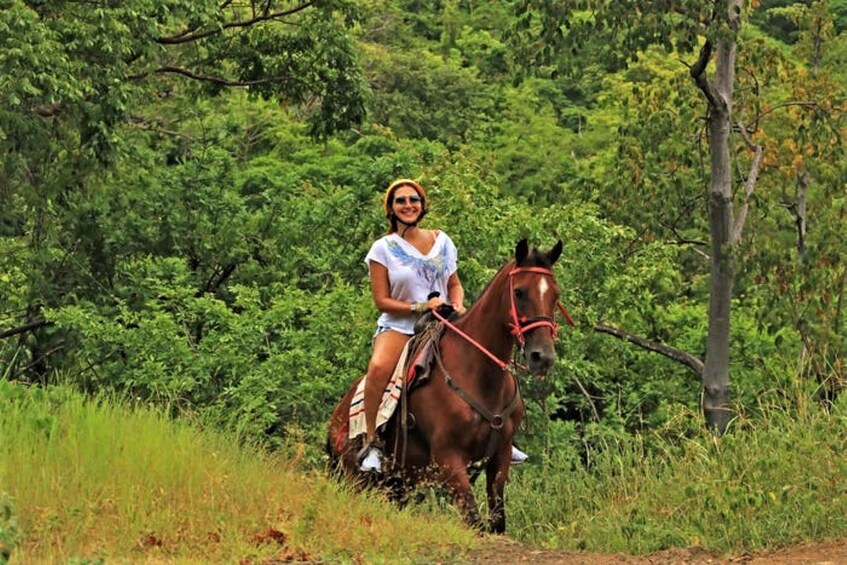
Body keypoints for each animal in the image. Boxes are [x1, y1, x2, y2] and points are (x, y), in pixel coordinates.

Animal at [328, 239, 568, 532]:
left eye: (555, 295)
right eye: (519, 292)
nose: (542, 357)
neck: (480, 376)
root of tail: (337, 417)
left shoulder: (499, 457)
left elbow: (497, 521)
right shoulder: (449, 459)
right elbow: (474, 521)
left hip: (399, 484)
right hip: (357, 480)